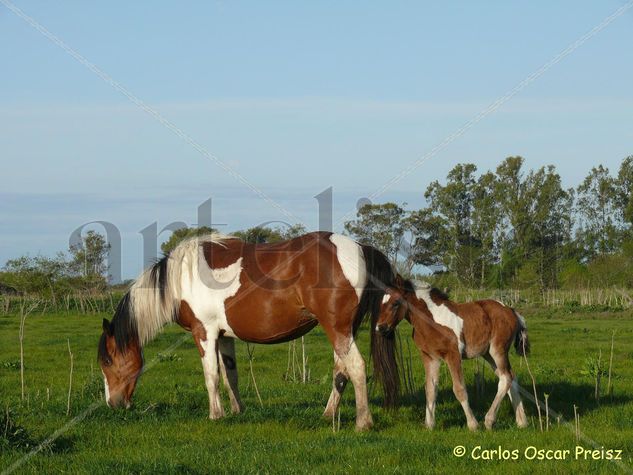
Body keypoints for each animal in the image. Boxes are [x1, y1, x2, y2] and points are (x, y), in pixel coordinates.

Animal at [97, 231, 400, 432]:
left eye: (108, 360)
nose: (113, 403)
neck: (180, 277)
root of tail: (360, 248)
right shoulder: (224, 336)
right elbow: (230, 374)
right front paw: (236, 411)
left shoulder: (204, 332)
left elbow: (211, 376)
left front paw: (215, 415)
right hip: (345, 330)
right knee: (341, 371)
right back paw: (328, 415)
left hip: (337, 329)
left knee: (356, 367)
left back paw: (363, 422)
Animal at [378, 278, 532, 432]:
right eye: (381, 303)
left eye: (396, 303)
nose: (380, 328)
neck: (430, 321)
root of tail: (511, 311)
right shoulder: (430, 357)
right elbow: (430, 389)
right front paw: (429, 425)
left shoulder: (453, 355)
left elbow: (459, 389)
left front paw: (472, 425)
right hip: (488, 354)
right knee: (511, 377)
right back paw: (521, 422)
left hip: (498, 350)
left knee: (506, 378)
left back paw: (489, 421)